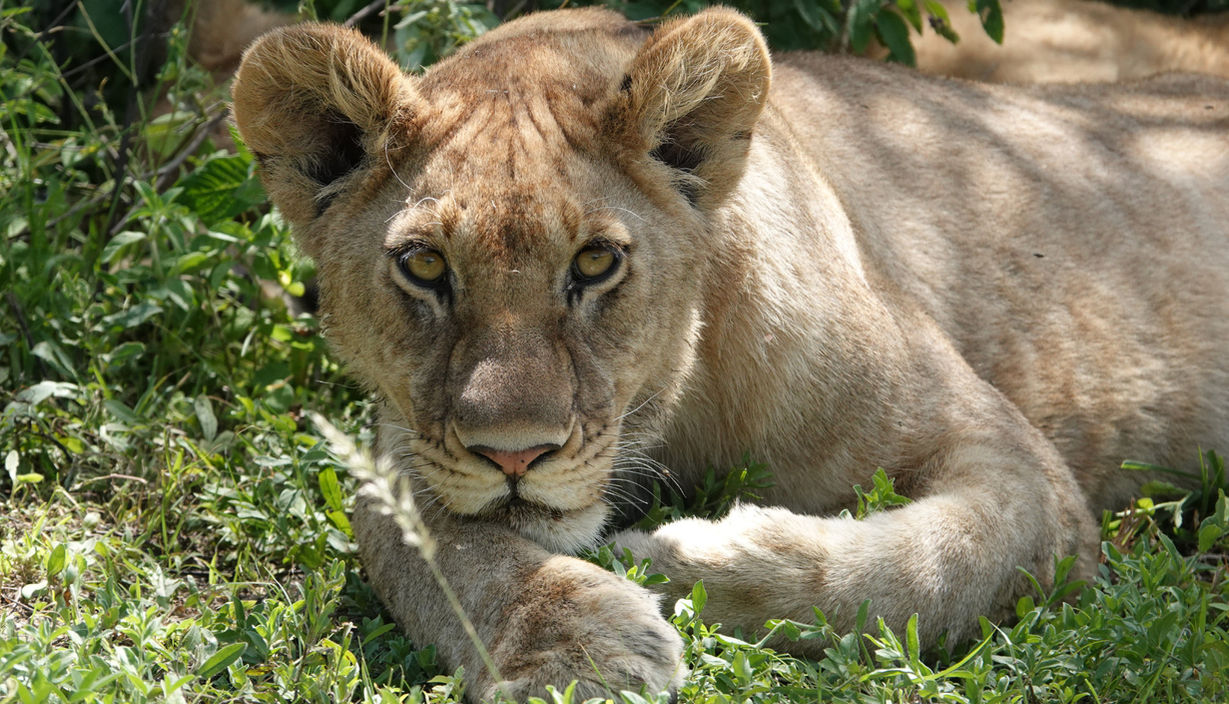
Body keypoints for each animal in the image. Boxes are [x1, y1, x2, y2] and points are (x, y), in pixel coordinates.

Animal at [231, 7, 1229, 701]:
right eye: (425, 266)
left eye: (594, 263)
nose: (515, 455)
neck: (680, 402)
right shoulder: (404, 449)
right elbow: (442, 557)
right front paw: (577, 649)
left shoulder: (1021, 468)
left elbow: (933, 565)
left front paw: (671, 561)